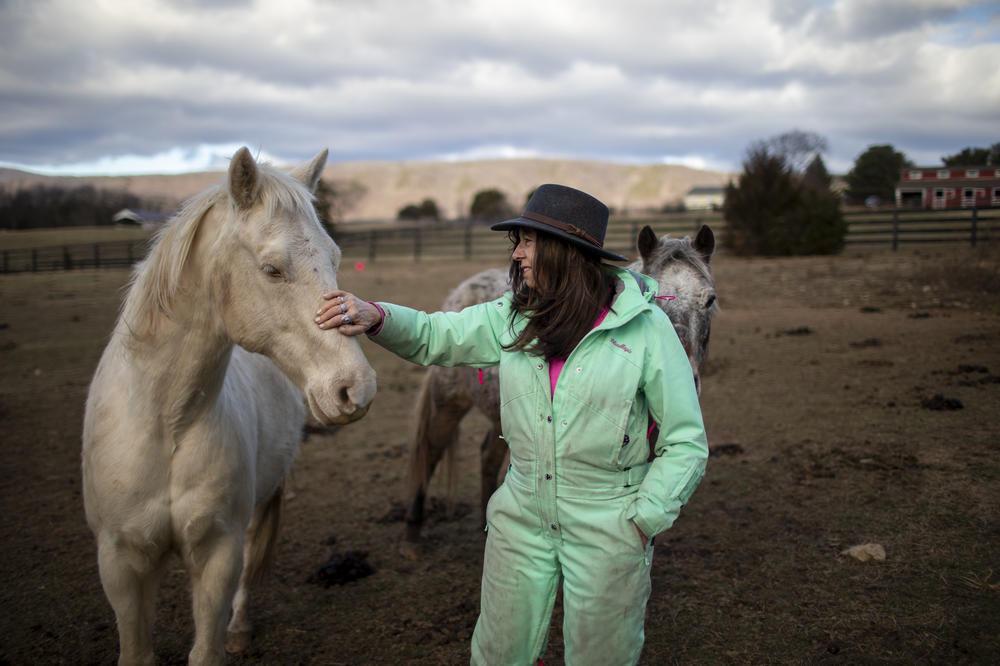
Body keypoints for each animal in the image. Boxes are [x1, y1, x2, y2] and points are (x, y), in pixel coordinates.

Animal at [82, 148, 376, 660]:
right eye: (272, 269)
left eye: (335, 258)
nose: (354, 389)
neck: (166, 422)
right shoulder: (120, 562)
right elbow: (136, 650)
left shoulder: (218, 553)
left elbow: (207, 648)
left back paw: (240, 627)